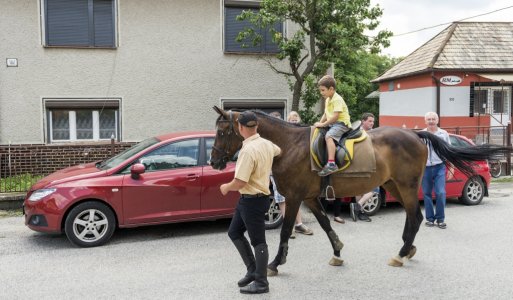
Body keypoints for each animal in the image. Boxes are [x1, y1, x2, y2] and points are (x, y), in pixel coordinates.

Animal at [210, 105, 510, 274]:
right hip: (394, 185)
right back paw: (407, 249)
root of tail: (414, 134)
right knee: (413, 217)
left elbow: (285, 230)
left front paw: (275, 263)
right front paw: (337, 253)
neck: (287, 145)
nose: (214, 162)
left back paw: (402, 253)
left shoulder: (294, 197)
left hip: (407, 186)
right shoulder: (311, 197)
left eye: (223, 132)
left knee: (415, 217)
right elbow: (325, 225)